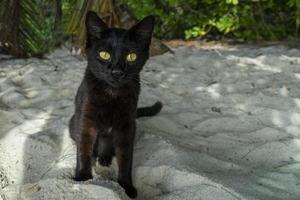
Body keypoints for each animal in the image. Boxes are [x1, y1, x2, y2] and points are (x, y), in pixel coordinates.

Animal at [68, 11, 162, 198]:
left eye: (131, 57)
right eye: (104, 54)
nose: (117, 72)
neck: (112, 93)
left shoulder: (127, 124)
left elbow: (126, 158)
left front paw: (126, 186)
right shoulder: (86, 118)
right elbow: (84, 148)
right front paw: (83, 178)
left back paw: (104, 159)